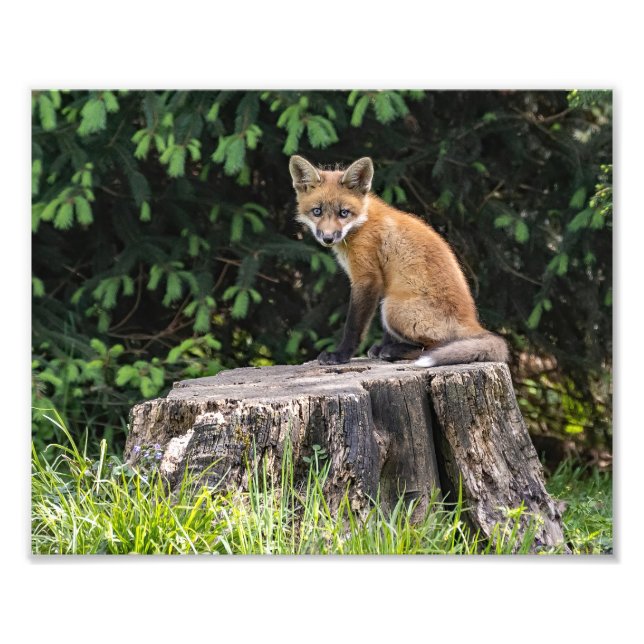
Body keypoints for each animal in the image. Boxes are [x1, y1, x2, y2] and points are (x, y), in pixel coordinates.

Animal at [289, 155, 509, 368]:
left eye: (343, 213)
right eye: (317, 211)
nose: (327, 238)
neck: (362, 222)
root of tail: (471, 321)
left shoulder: (367, 278)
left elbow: (353, 326)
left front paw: (340, 355)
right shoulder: (384, 282)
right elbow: (385, 334)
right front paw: (380, 346)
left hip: (392, 307)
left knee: (436, 346)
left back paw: (394, 352)